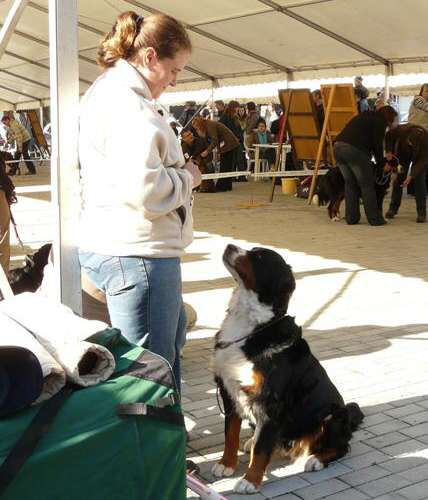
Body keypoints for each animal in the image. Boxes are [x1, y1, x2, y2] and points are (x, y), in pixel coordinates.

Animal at [212, 244, 362, 494]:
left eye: (258, 256)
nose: (229, 246)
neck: (253, 326)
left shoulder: (270, 401)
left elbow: (261, 449)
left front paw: (250, 480)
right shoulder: (229, 391)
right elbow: (230, 434)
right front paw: (226, 464)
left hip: (332, 414)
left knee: (341, 447)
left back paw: (316, 460)